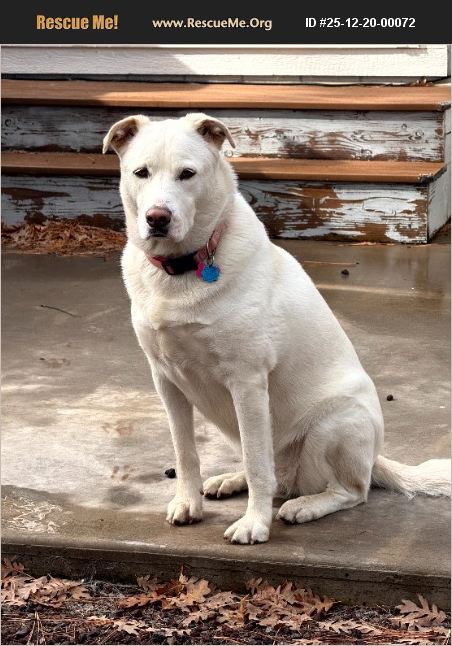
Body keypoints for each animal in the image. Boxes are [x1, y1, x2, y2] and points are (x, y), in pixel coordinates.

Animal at [103, 113, 450, 544]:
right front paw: (189, 503)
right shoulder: (166, 380)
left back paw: (305, 506)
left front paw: (254, 524)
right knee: (276, 476)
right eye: (141, 173)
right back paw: (231, 481)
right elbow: (186, 453)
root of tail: (375, 457)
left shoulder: (247, 382)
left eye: (187, 174)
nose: (157, 219)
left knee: (350, 490)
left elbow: (257, 463)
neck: (183, 269)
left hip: (334, 423)